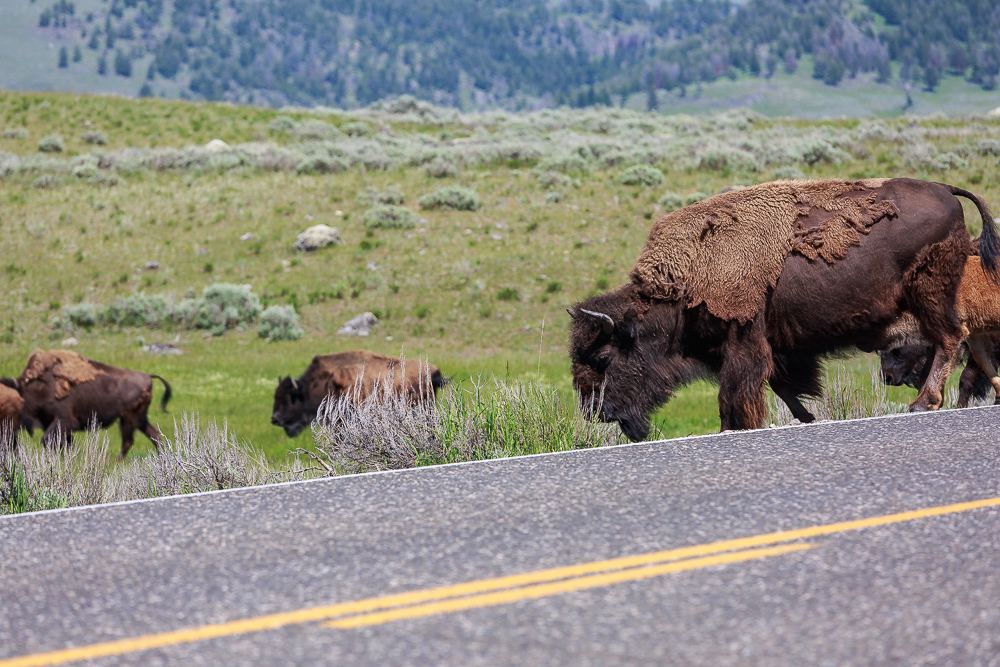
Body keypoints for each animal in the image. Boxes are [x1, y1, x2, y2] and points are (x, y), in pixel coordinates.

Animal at [0, 350, 173, 460]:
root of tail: (147, 376)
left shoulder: (65, 421)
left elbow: (48, 440)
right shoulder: (54, 424)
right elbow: (64, 443)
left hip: (129, 418)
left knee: (129, 440)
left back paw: (116, 461)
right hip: (138, 418)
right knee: (153, 434)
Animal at [572, 177, 1000, 440]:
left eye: (604, 358)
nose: (596, 412)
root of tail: (945, 188)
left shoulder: (742, 341)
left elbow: (738, 389)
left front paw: (734, 428)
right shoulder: (769, 345)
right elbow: (780, 384)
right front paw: (809, 418)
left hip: (929, 294)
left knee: (950, 337)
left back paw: (921, 403)